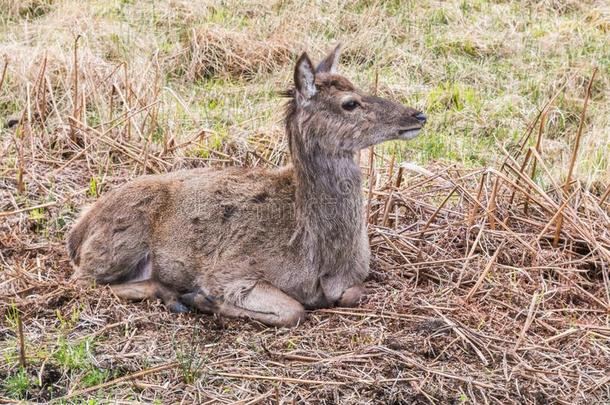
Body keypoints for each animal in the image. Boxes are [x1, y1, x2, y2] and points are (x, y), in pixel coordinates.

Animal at [65, 45, 422, 326]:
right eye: (350, 103)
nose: (418, 115)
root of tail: (77, 232)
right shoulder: (228, 272)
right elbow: (294, 310)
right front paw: (205, 300)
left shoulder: (355, 278)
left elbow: (353, 293)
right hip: (117, 242)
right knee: (81, 282)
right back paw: (177, 296)